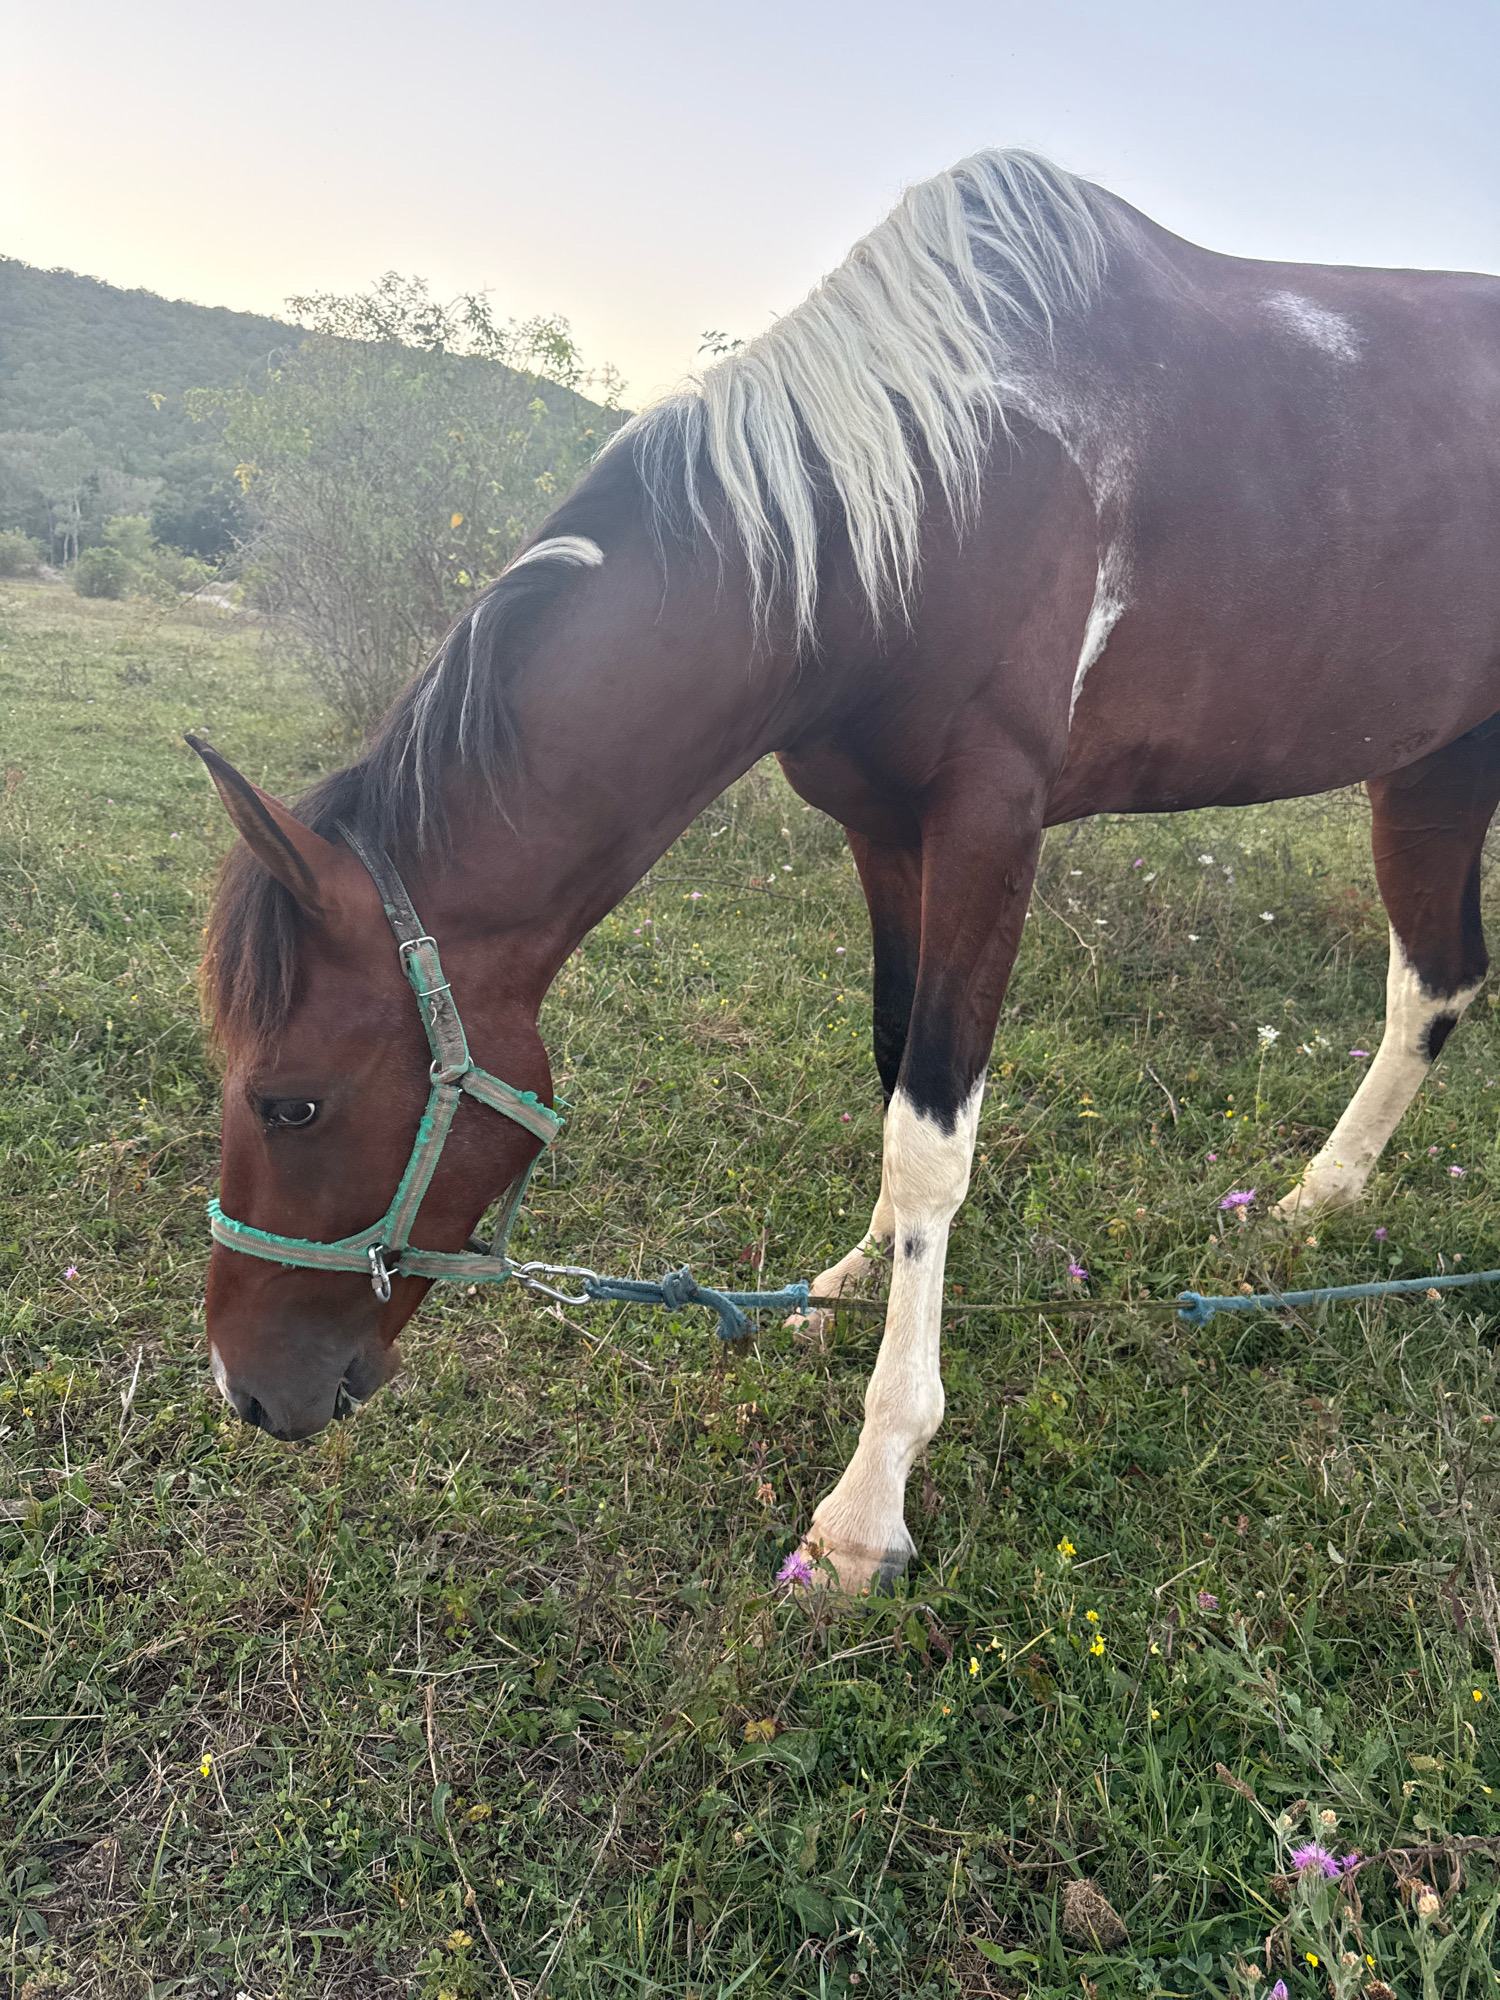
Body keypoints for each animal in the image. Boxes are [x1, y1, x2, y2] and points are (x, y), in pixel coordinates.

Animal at [192, 148, 1500, 1594]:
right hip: (1435, 766)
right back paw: (1311, 1210)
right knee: (1437, 982)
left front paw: (872, 1499)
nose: (249, 1390)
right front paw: (856, 1279)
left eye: (292, 1103)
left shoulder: (991, 823)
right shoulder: (884, 831)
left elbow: (936, 1131)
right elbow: (895, 1076)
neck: (923, 501)